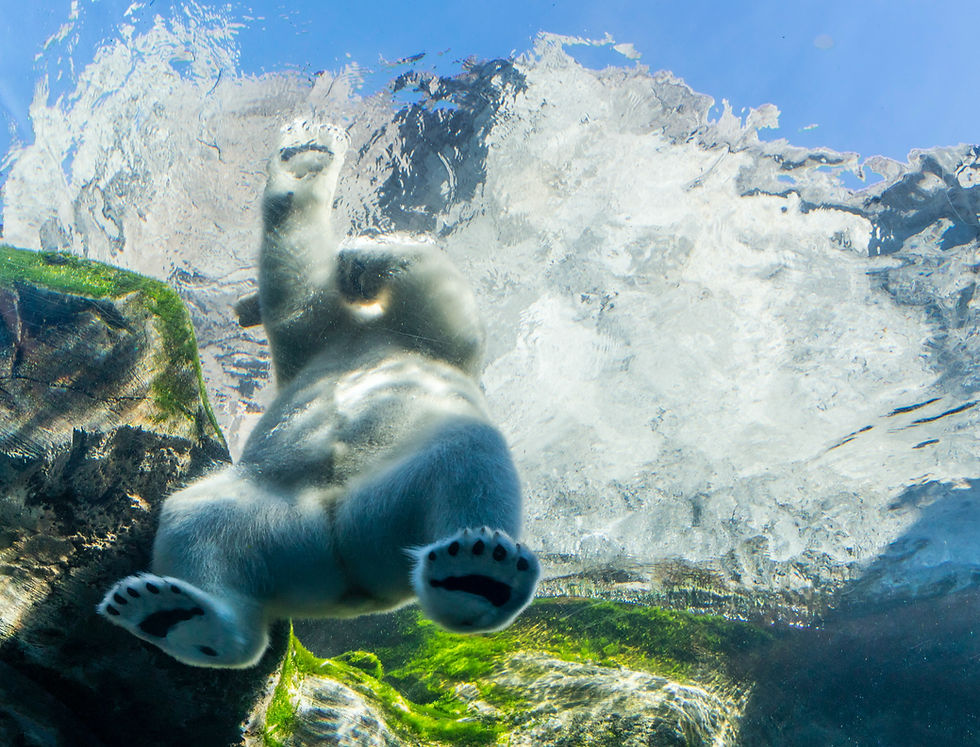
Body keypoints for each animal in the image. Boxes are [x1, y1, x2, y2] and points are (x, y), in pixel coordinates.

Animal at [96, 119, 539, 668]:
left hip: (389, 498)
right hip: (275, 514)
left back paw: (478, 575)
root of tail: (344, 584)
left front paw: (359, 252)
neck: (361, 330)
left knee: (467, 452)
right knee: (197, 520)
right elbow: (295, 272)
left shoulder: (426, 337)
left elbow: (436, 291)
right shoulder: (319, 334)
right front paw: (304, 163)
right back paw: (176, 615)